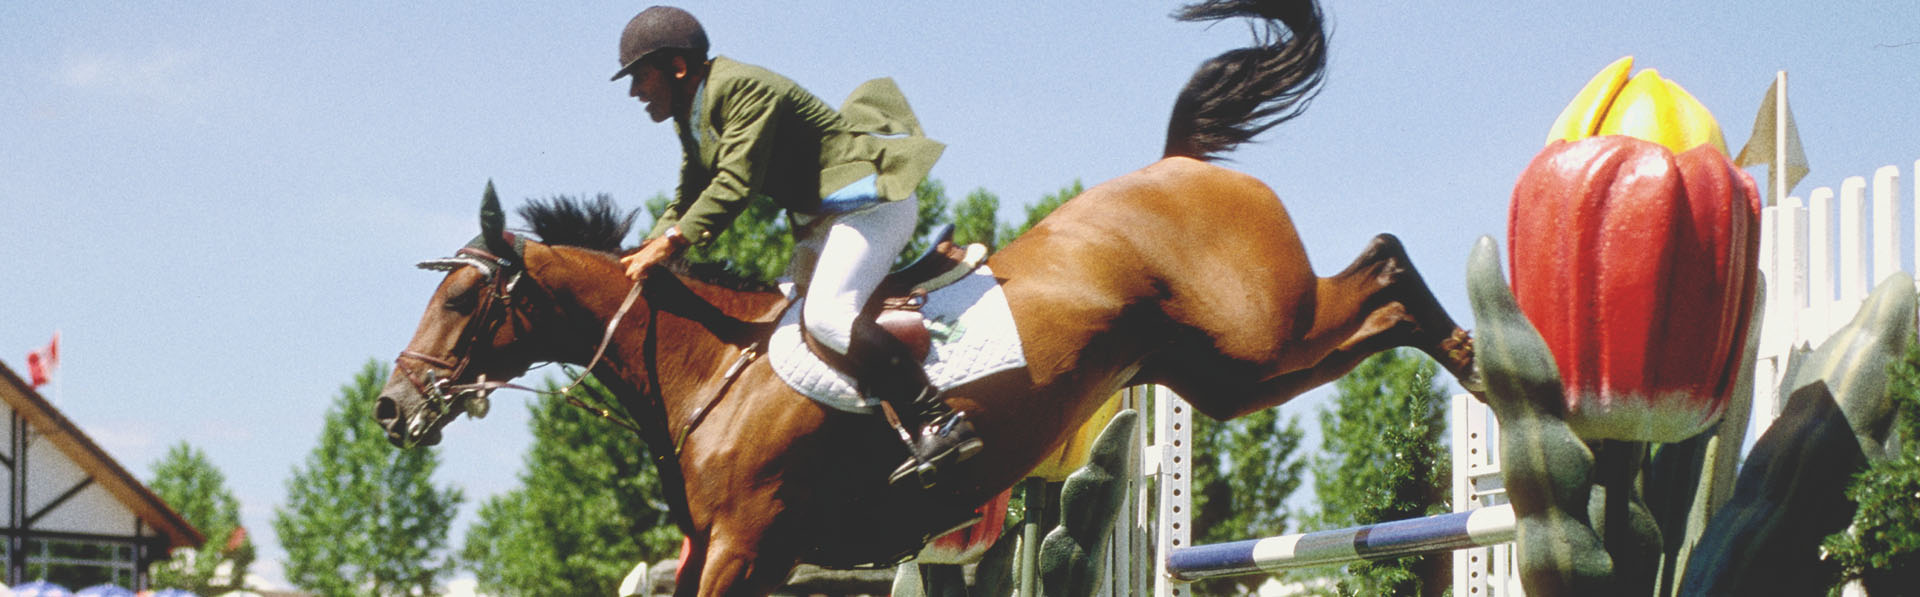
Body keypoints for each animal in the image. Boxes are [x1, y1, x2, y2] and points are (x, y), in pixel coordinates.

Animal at [374, 2, 1474, 595]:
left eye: (465, 302)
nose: (392, 406)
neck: (706, 370)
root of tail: (1180, 166)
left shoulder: (744, 543)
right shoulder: (730, 550)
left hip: (1260, 334)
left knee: (1384, 270)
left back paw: (1479, 365)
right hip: (1218, 373)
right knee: (1369, 298)